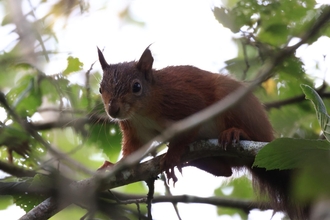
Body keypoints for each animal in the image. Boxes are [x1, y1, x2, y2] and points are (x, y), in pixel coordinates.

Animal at [97, 46, 306, 218]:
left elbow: (187, 128)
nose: (113, 110)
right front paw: (116, 165)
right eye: (100, 89)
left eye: (136, 87)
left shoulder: (185, 102)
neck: (142, 112)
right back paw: (199, 162)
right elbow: (133, 150)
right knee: (226, 171)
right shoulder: (135, 130)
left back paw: (235, 133)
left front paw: (172, 155)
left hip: (236, 103)